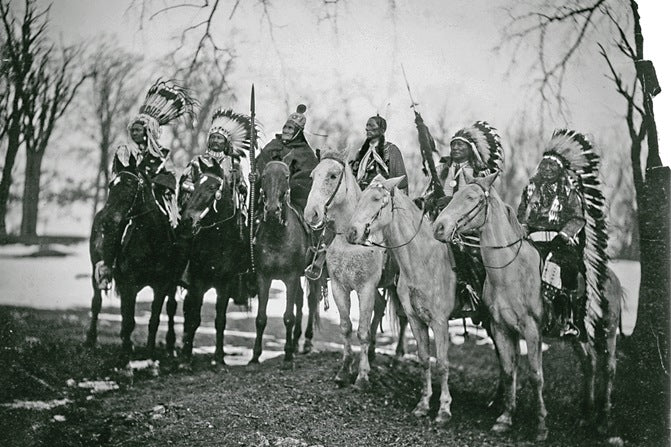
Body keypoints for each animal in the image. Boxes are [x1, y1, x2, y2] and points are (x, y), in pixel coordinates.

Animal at [88, 156, 180, 358]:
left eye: (131, 185)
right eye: (111, 185)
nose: (107, 221)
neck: (152, 241)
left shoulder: (162, 285)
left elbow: (154, 320)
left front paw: (149, 352)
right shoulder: (129, 285)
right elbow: (128, 320)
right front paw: (126, 351)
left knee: (170, 307)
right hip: (95, 270)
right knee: (97, 302)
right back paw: (91, 340)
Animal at [252, 161, 326, 364]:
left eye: (286, 177)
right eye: (264, 176)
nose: (271, 211)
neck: (277, 236)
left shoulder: (291, 278)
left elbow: (288, 317)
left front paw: (287, 356)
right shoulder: (263, 277)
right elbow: (261, 318)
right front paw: (255, 356)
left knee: (311, 301)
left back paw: (306, 341)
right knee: (300, 300)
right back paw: (295, 340)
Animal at [306, 152, 410, 390]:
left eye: (333, 175)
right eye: (313, 175)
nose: (311, 214)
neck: (350, 241)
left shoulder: (366, 288)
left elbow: (362, 331)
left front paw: (362, 376)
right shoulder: (339, 287)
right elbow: (346, 327)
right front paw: (344, 370)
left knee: (402, 317)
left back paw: (398, 358)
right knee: (380, 308)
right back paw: (371, 353)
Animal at [434, 172, 624, 440]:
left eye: (470, 197)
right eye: (455, 195)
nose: (439, 227)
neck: (510, 271)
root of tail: (612, 277)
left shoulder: (532, 330)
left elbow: (536, 376)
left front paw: (541, 426)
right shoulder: (501, 329)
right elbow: (508, 371)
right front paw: (505, 418)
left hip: (607, 331)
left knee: (609, 368)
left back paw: (604, 421)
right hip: (578, 336)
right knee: (589, 364)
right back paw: (586, 416)